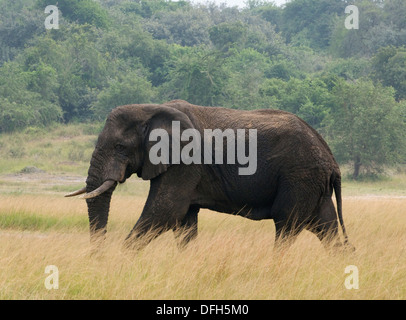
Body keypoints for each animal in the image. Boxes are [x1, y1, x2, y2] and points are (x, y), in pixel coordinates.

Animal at [66, 101, 352, 251]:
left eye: (120, 147)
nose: (97, 257)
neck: (150, 109)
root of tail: (331, 159)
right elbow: (184, 221)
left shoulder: (185, 162)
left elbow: (165, 210)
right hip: (312, 182)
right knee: (325, 228)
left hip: (299, 176)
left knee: (286, 225)